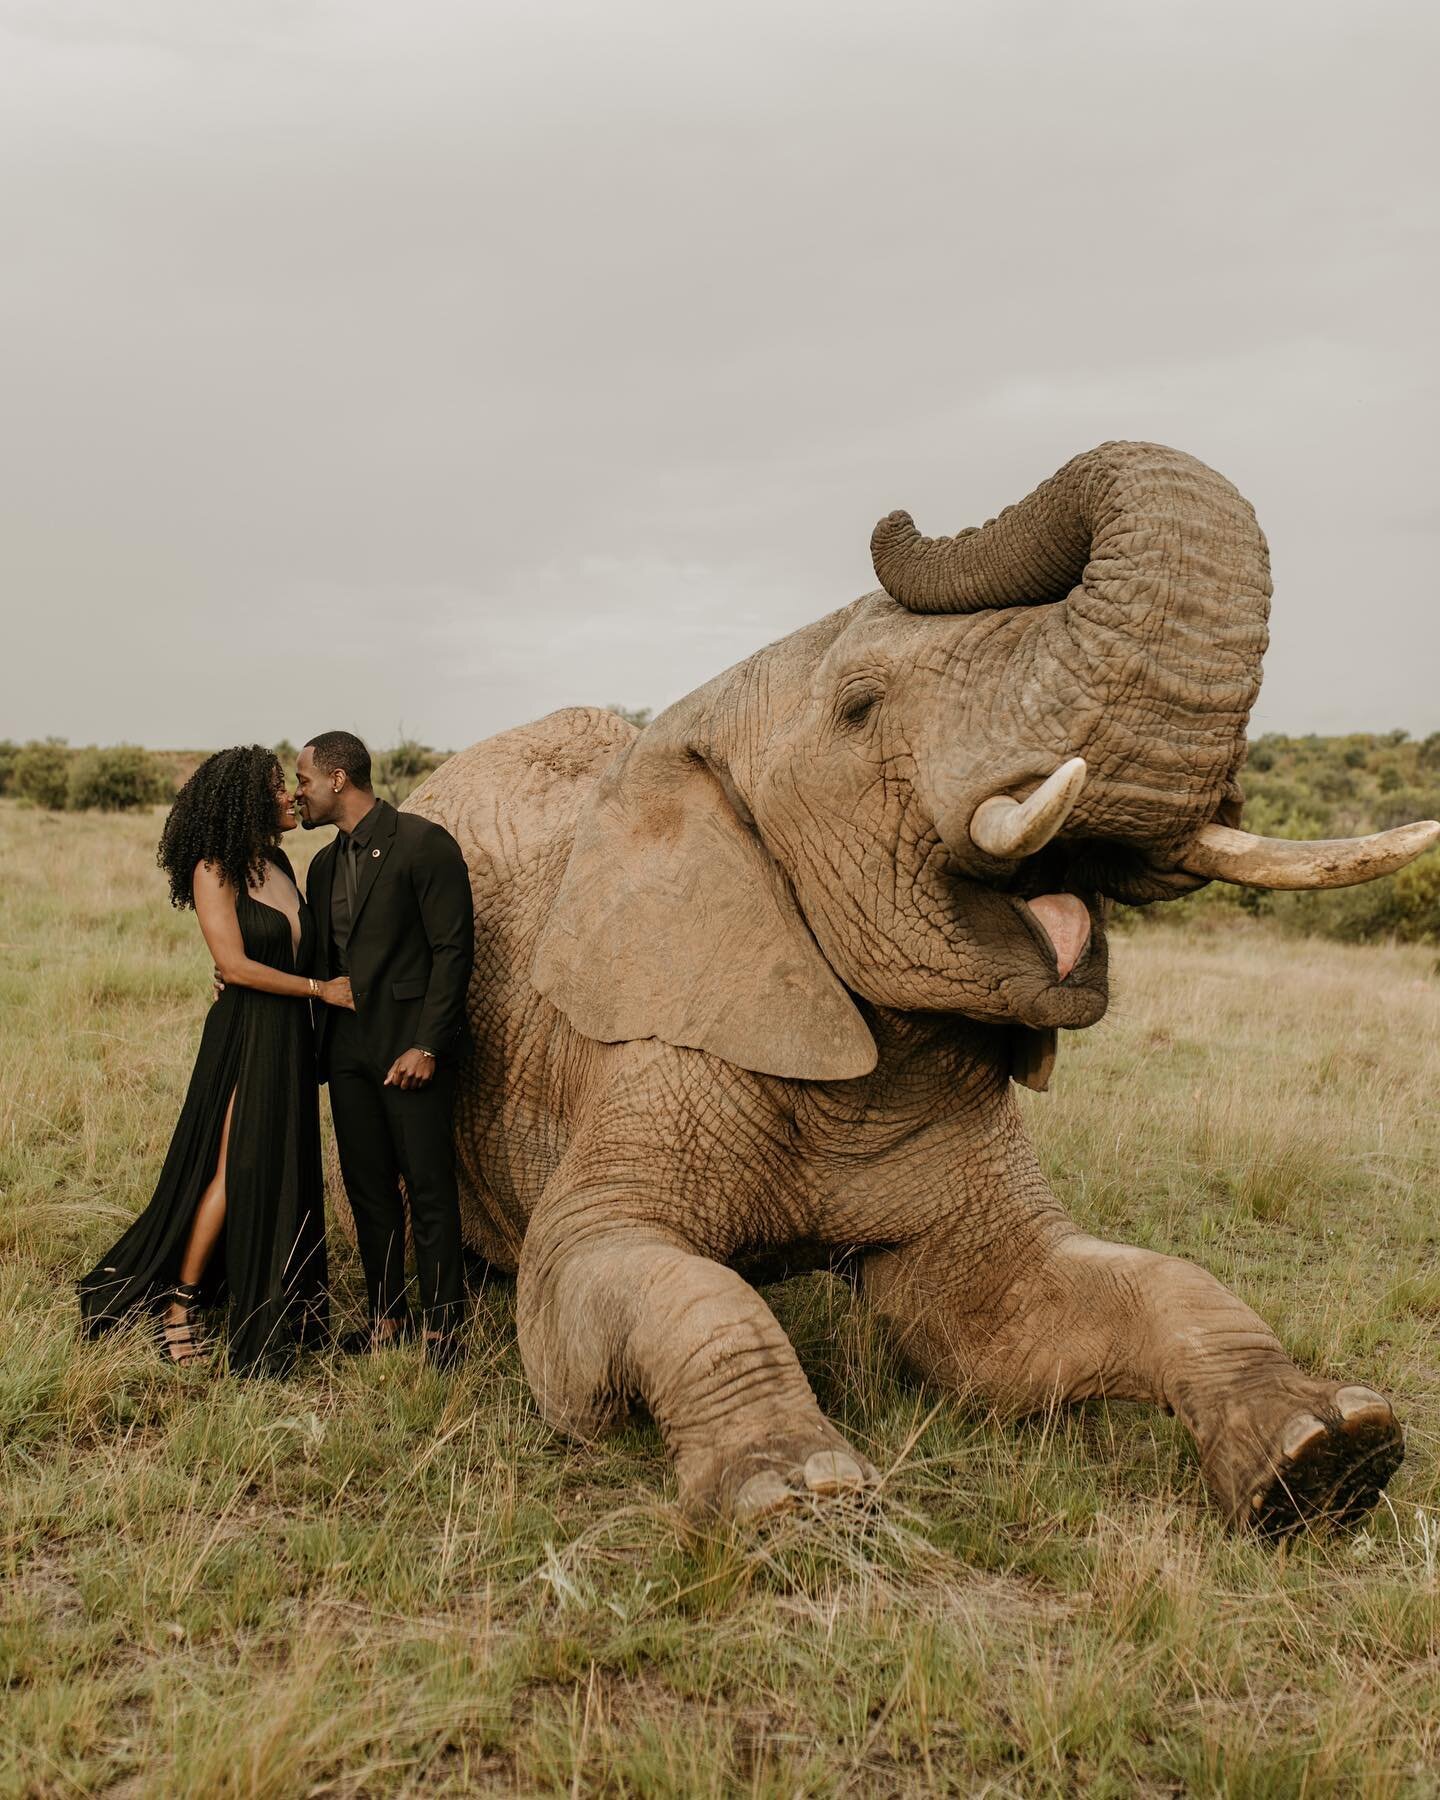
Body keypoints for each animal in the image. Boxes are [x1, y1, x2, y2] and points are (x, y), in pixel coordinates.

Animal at [410, 446, 1432, 1533]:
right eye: (861, 706)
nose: (901, 519)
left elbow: (1014, 1316)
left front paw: (1331, 1451)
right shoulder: (655, 1038)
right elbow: (603, 1281)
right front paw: (796, 1496)